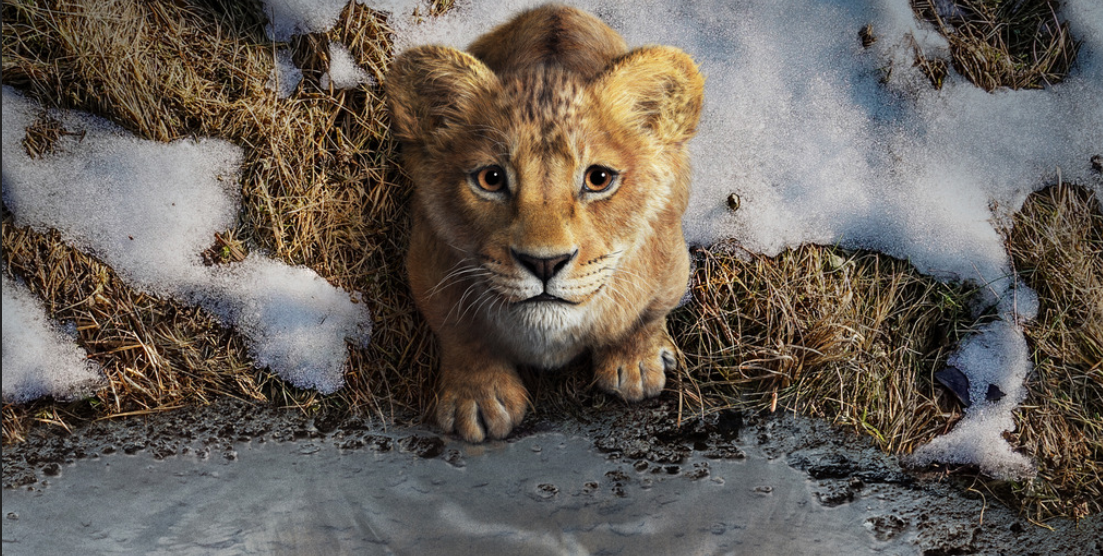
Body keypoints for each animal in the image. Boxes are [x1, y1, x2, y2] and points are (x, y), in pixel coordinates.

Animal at [386, 4, 704, 442]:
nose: (544, 263)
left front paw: (635, 365)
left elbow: (645, 316)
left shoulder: (671, 262)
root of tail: (556, 8)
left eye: (598, 179)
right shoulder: (427, 262)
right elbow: (461, 333)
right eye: (491, 179)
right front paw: (479, 399)